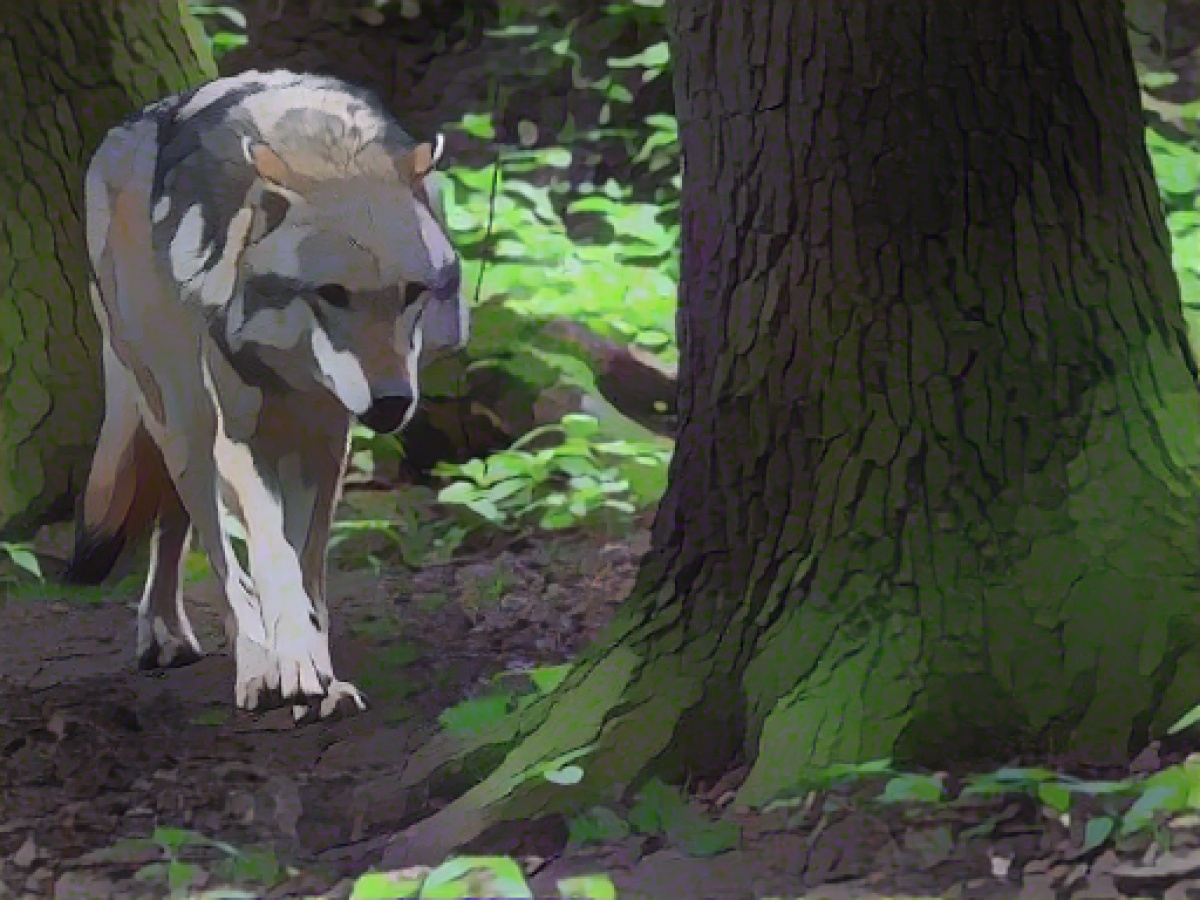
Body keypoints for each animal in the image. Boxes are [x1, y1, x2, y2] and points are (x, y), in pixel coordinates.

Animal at [64, 70, 469, 723]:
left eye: (411, 293)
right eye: (331, 293)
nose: (389, 403)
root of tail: (123, 131)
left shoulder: (326, 446)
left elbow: (308, 571)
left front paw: (324, 678)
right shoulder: (238, 439)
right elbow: (270, 558)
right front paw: (292, 665)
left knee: (174, 528)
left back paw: (168, 633)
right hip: (185, 422)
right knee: (217, 552)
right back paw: (249, 667)